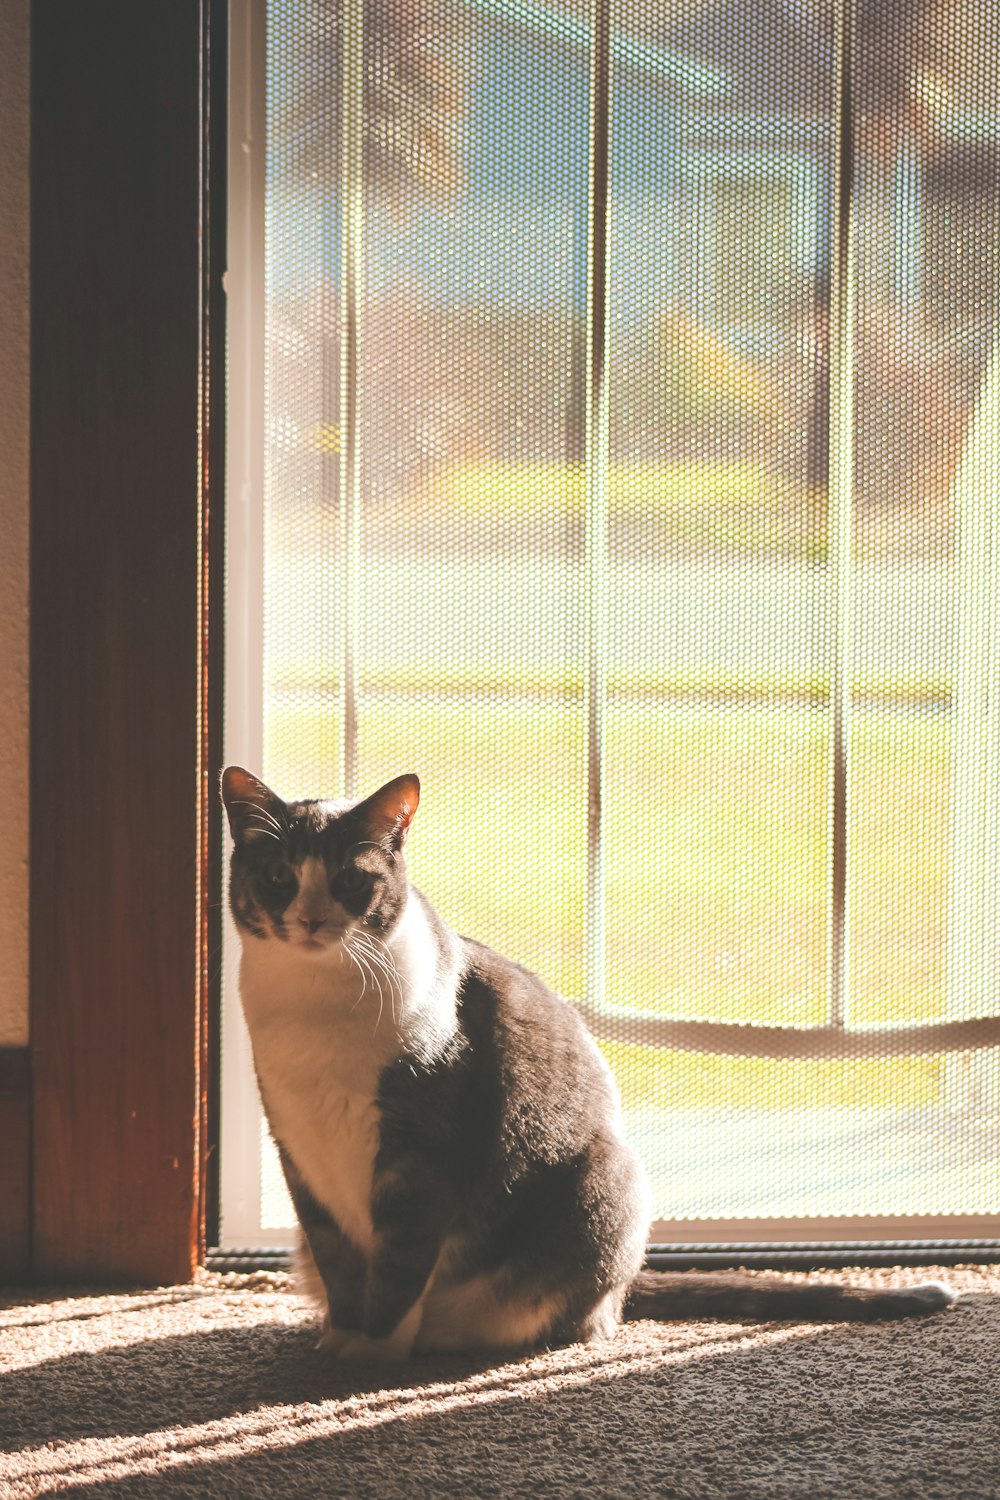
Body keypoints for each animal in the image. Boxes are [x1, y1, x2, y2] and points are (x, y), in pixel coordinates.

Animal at [223, 768, 959, 1368]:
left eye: (349, 880)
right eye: (279, 877)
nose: (311, 918)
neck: (314, 1006)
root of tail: (628, 1286)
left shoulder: (421, 1152)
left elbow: (402, 1262)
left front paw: (374, 1351)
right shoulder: (299, 1150)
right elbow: (339, 1258)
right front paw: (342, 1336)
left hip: (606, 1181)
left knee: (579, 1319)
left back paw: (453, 1334)